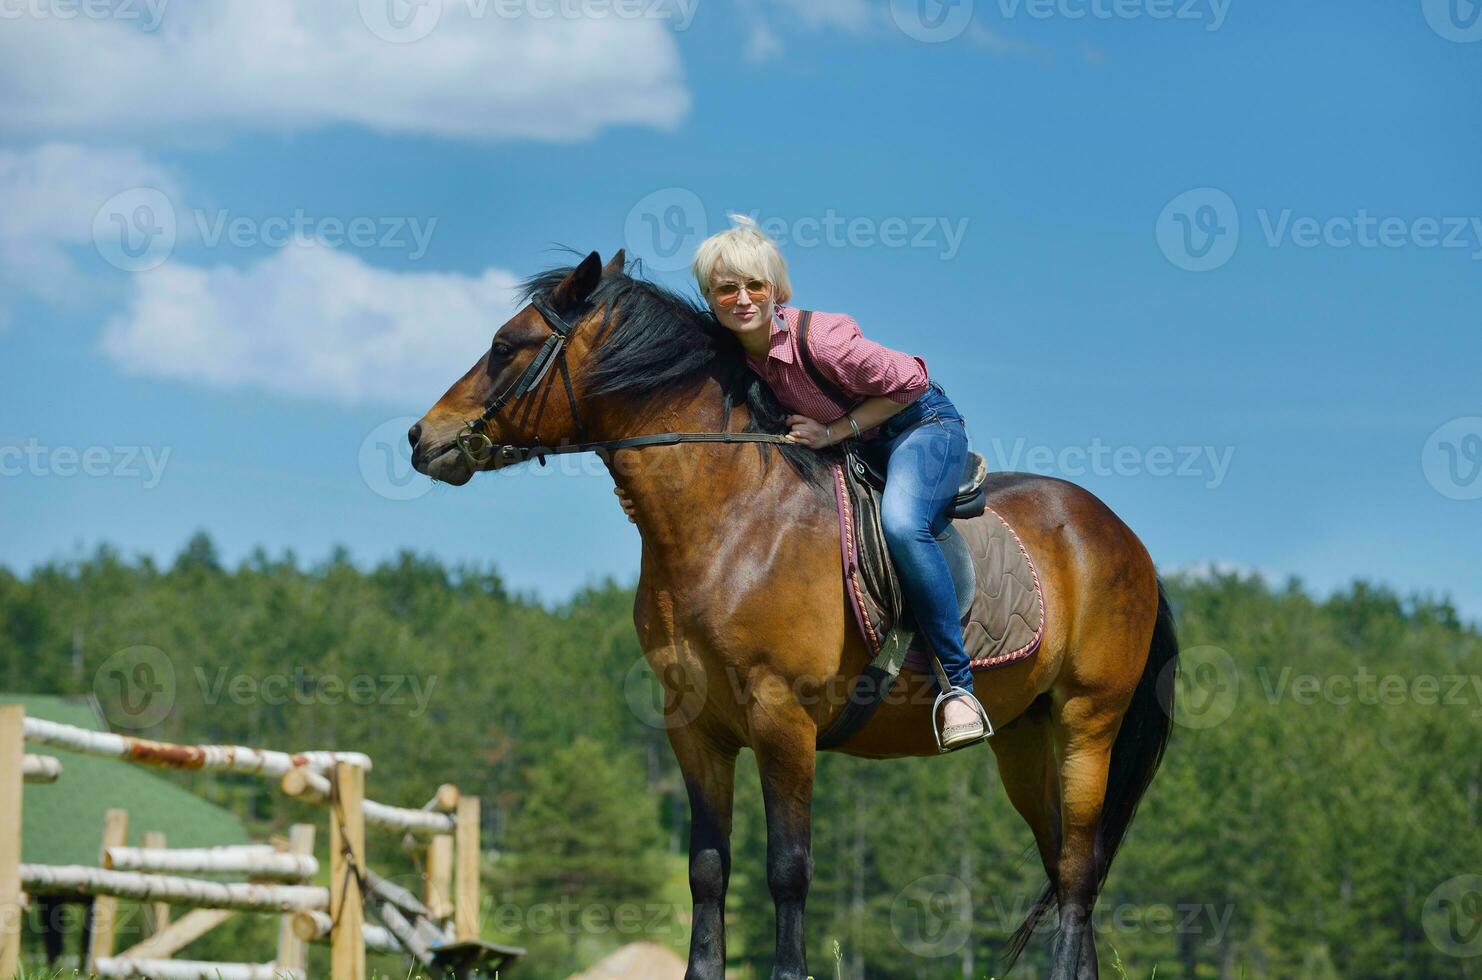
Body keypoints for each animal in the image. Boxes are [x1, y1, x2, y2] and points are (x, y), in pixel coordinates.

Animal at [409, 252, 1179, 978]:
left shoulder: (783, 717)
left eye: (506, 345)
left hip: (1087, 720)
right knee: (1065, 867)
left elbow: (787, 869)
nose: (421, 437)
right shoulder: (695, 727)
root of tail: (1124, 538)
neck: (730, 517)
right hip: (1023, 734)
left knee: (1076, 873)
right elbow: (707, 869)